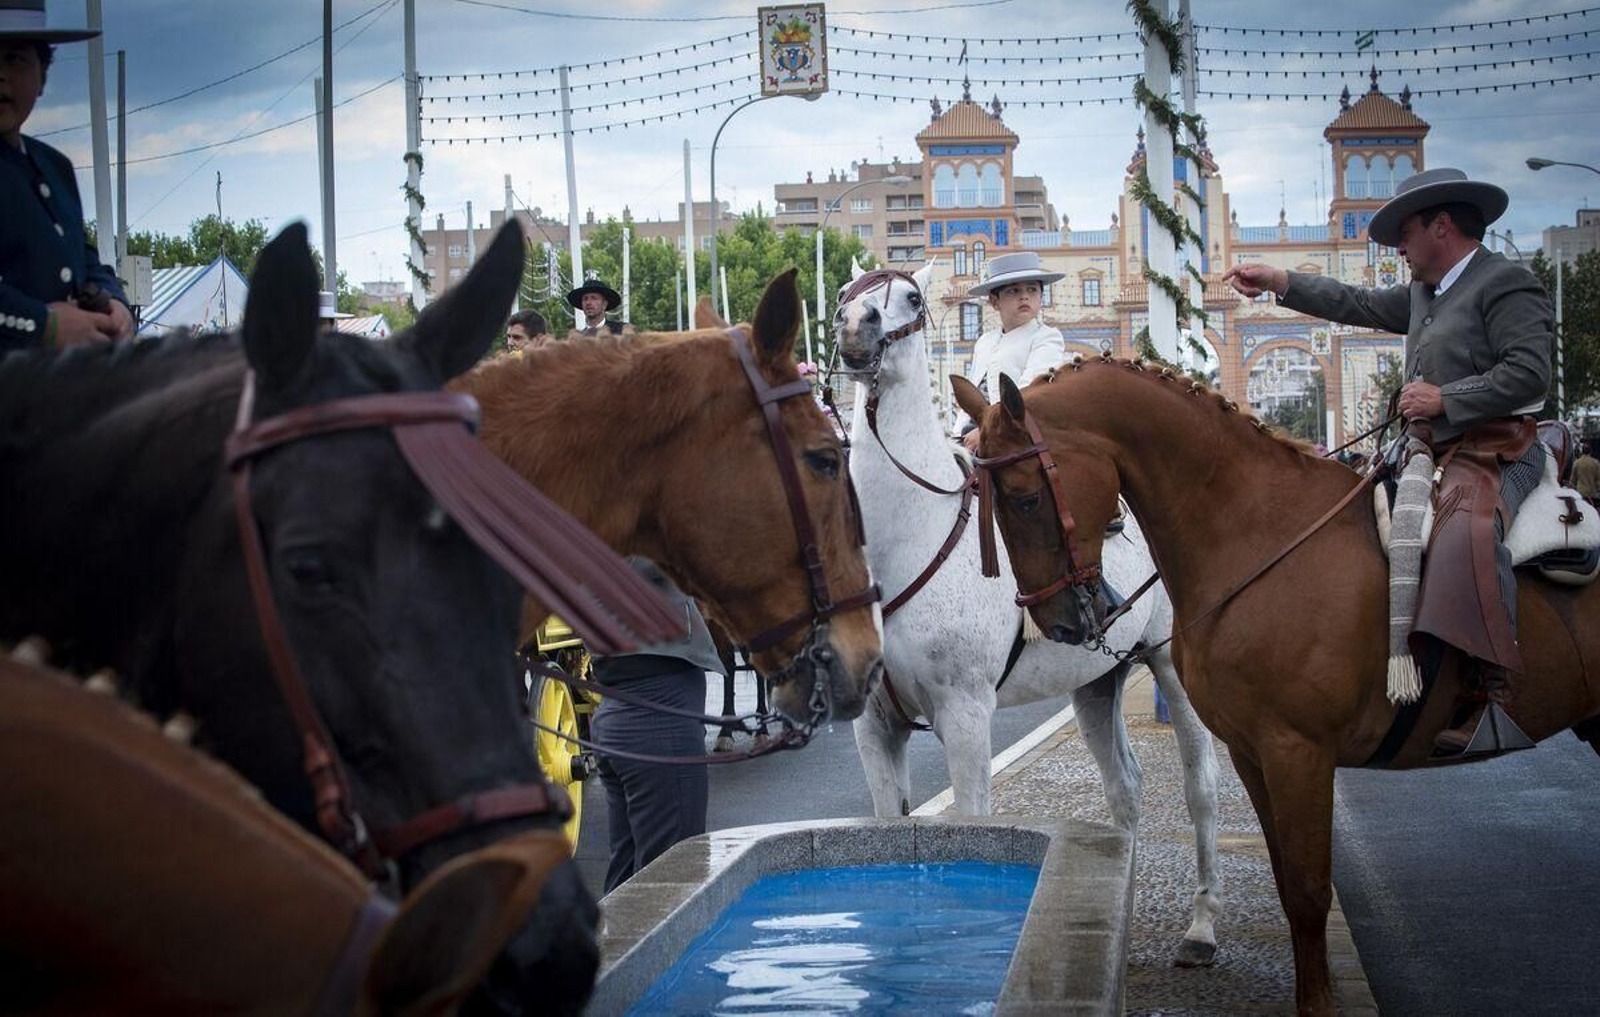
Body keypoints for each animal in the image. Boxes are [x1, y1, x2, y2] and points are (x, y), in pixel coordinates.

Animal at [832, 263, 1223, 967]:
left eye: (910, 299)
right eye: (847, 298)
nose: (856, 330)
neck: (906, 543)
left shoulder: (964, 716)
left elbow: (971, 823)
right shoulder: (874, 725)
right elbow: (889, 829)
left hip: (1171, 665)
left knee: (1199, 783)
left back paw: (1201, 926)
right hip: (1096, 683)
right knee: (1125, 787)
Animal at [954, 359, 1600, 1015]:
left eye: (1025, 498)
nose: (1057, 622)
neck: (1259, 535)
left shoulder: (1299, 752)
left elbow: (1311, 888)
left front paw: (1316, 1002)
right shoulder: (1253, 751)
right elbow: (1289, 883)